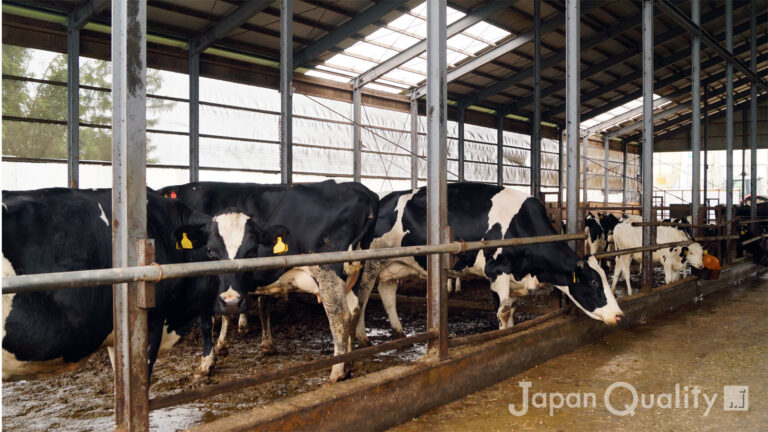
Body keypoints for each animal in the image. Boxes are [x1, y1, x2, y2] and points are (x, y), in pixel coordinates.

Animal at [158, 181, 380, 384]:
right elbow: (243, 309)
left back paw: (336, 372)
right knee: (354, 311)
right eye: (211, 250)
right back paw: (349, 365)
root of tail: (361, 190)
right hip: (354, 274)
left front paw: (206, 364)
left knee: (340, 317)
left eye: (252, 251)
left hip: (327, 272)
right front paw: (227, 346)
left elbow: (207, 322)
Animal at [354, 182, 624, 344]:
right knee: (362, 297)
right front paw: (504, 336)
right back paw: (362, 336)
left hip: (393, 264)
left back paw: (399, 331)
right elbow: (502, 311)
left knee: (387, 294)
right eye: (593, 282)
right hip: (369, 264)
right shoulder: (497, 271)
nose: (619, 315)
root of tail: (382, 198)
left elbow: (511, 308)